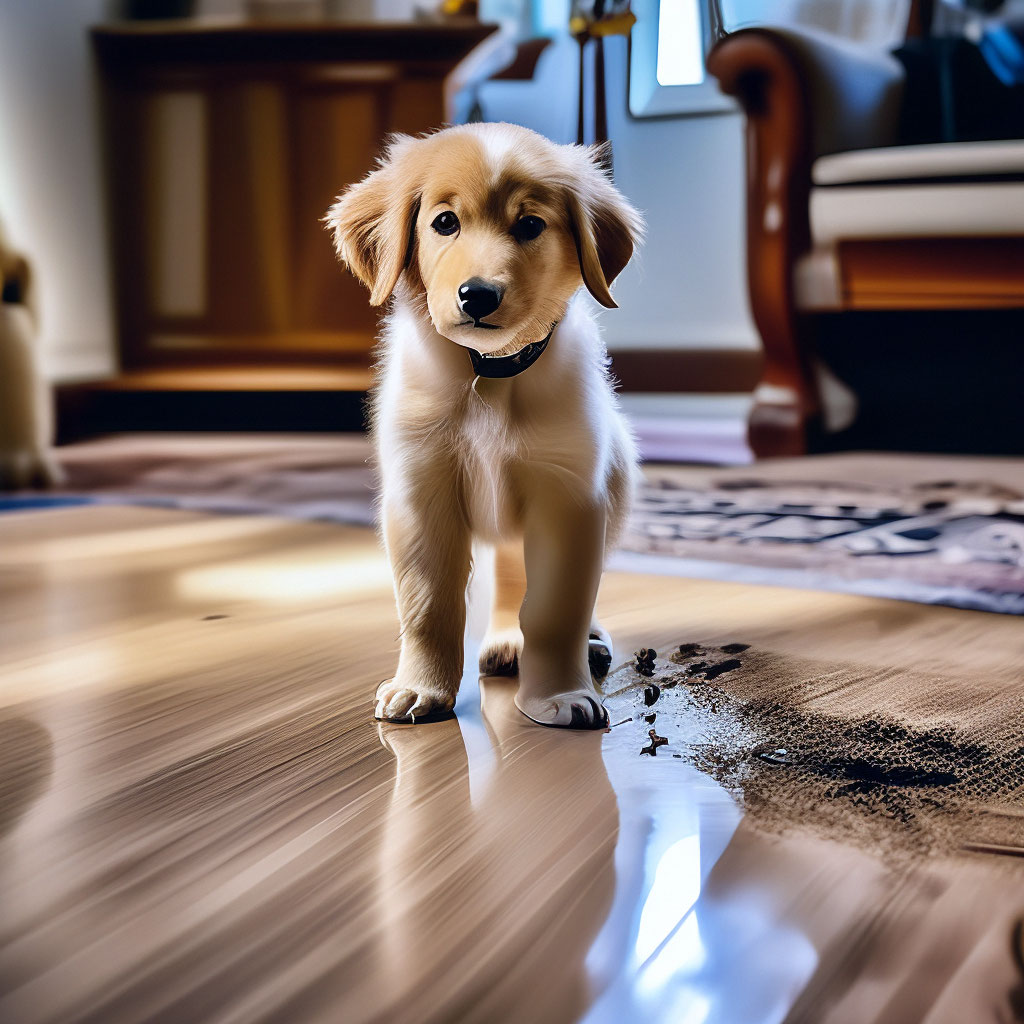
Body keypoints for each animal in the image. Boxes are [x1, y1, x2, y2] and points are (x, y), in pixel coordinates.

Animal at [327, 121, 638, 729]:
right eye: (445, 222)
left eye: (530, 225)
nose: (477, 295)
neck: (488, 372)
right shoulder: (420, 490)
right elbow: (428, 605)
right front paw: (420, 689)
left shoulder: (567, 493)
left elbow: (556, 607)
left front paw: (560, 694)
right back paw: (502, 644)